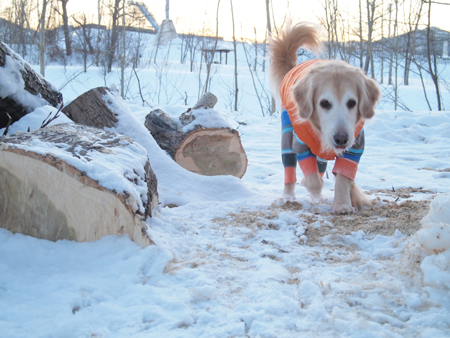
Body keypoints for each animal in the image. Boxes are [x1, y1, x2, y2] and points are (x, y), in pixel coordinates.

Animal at [270, 21, 380, 214]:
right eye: (324, 103)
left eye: (352, 102)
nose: (341, 139)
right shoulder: (301, 144)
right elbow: (314, 180)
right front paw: (313, 185)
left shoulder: (355, 147)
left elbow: (343, 176)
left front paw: (343, 204)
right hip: (287, 134)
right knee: (289, 169)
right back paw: (289, 196)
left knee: (320, 165)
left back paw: (318, 197)